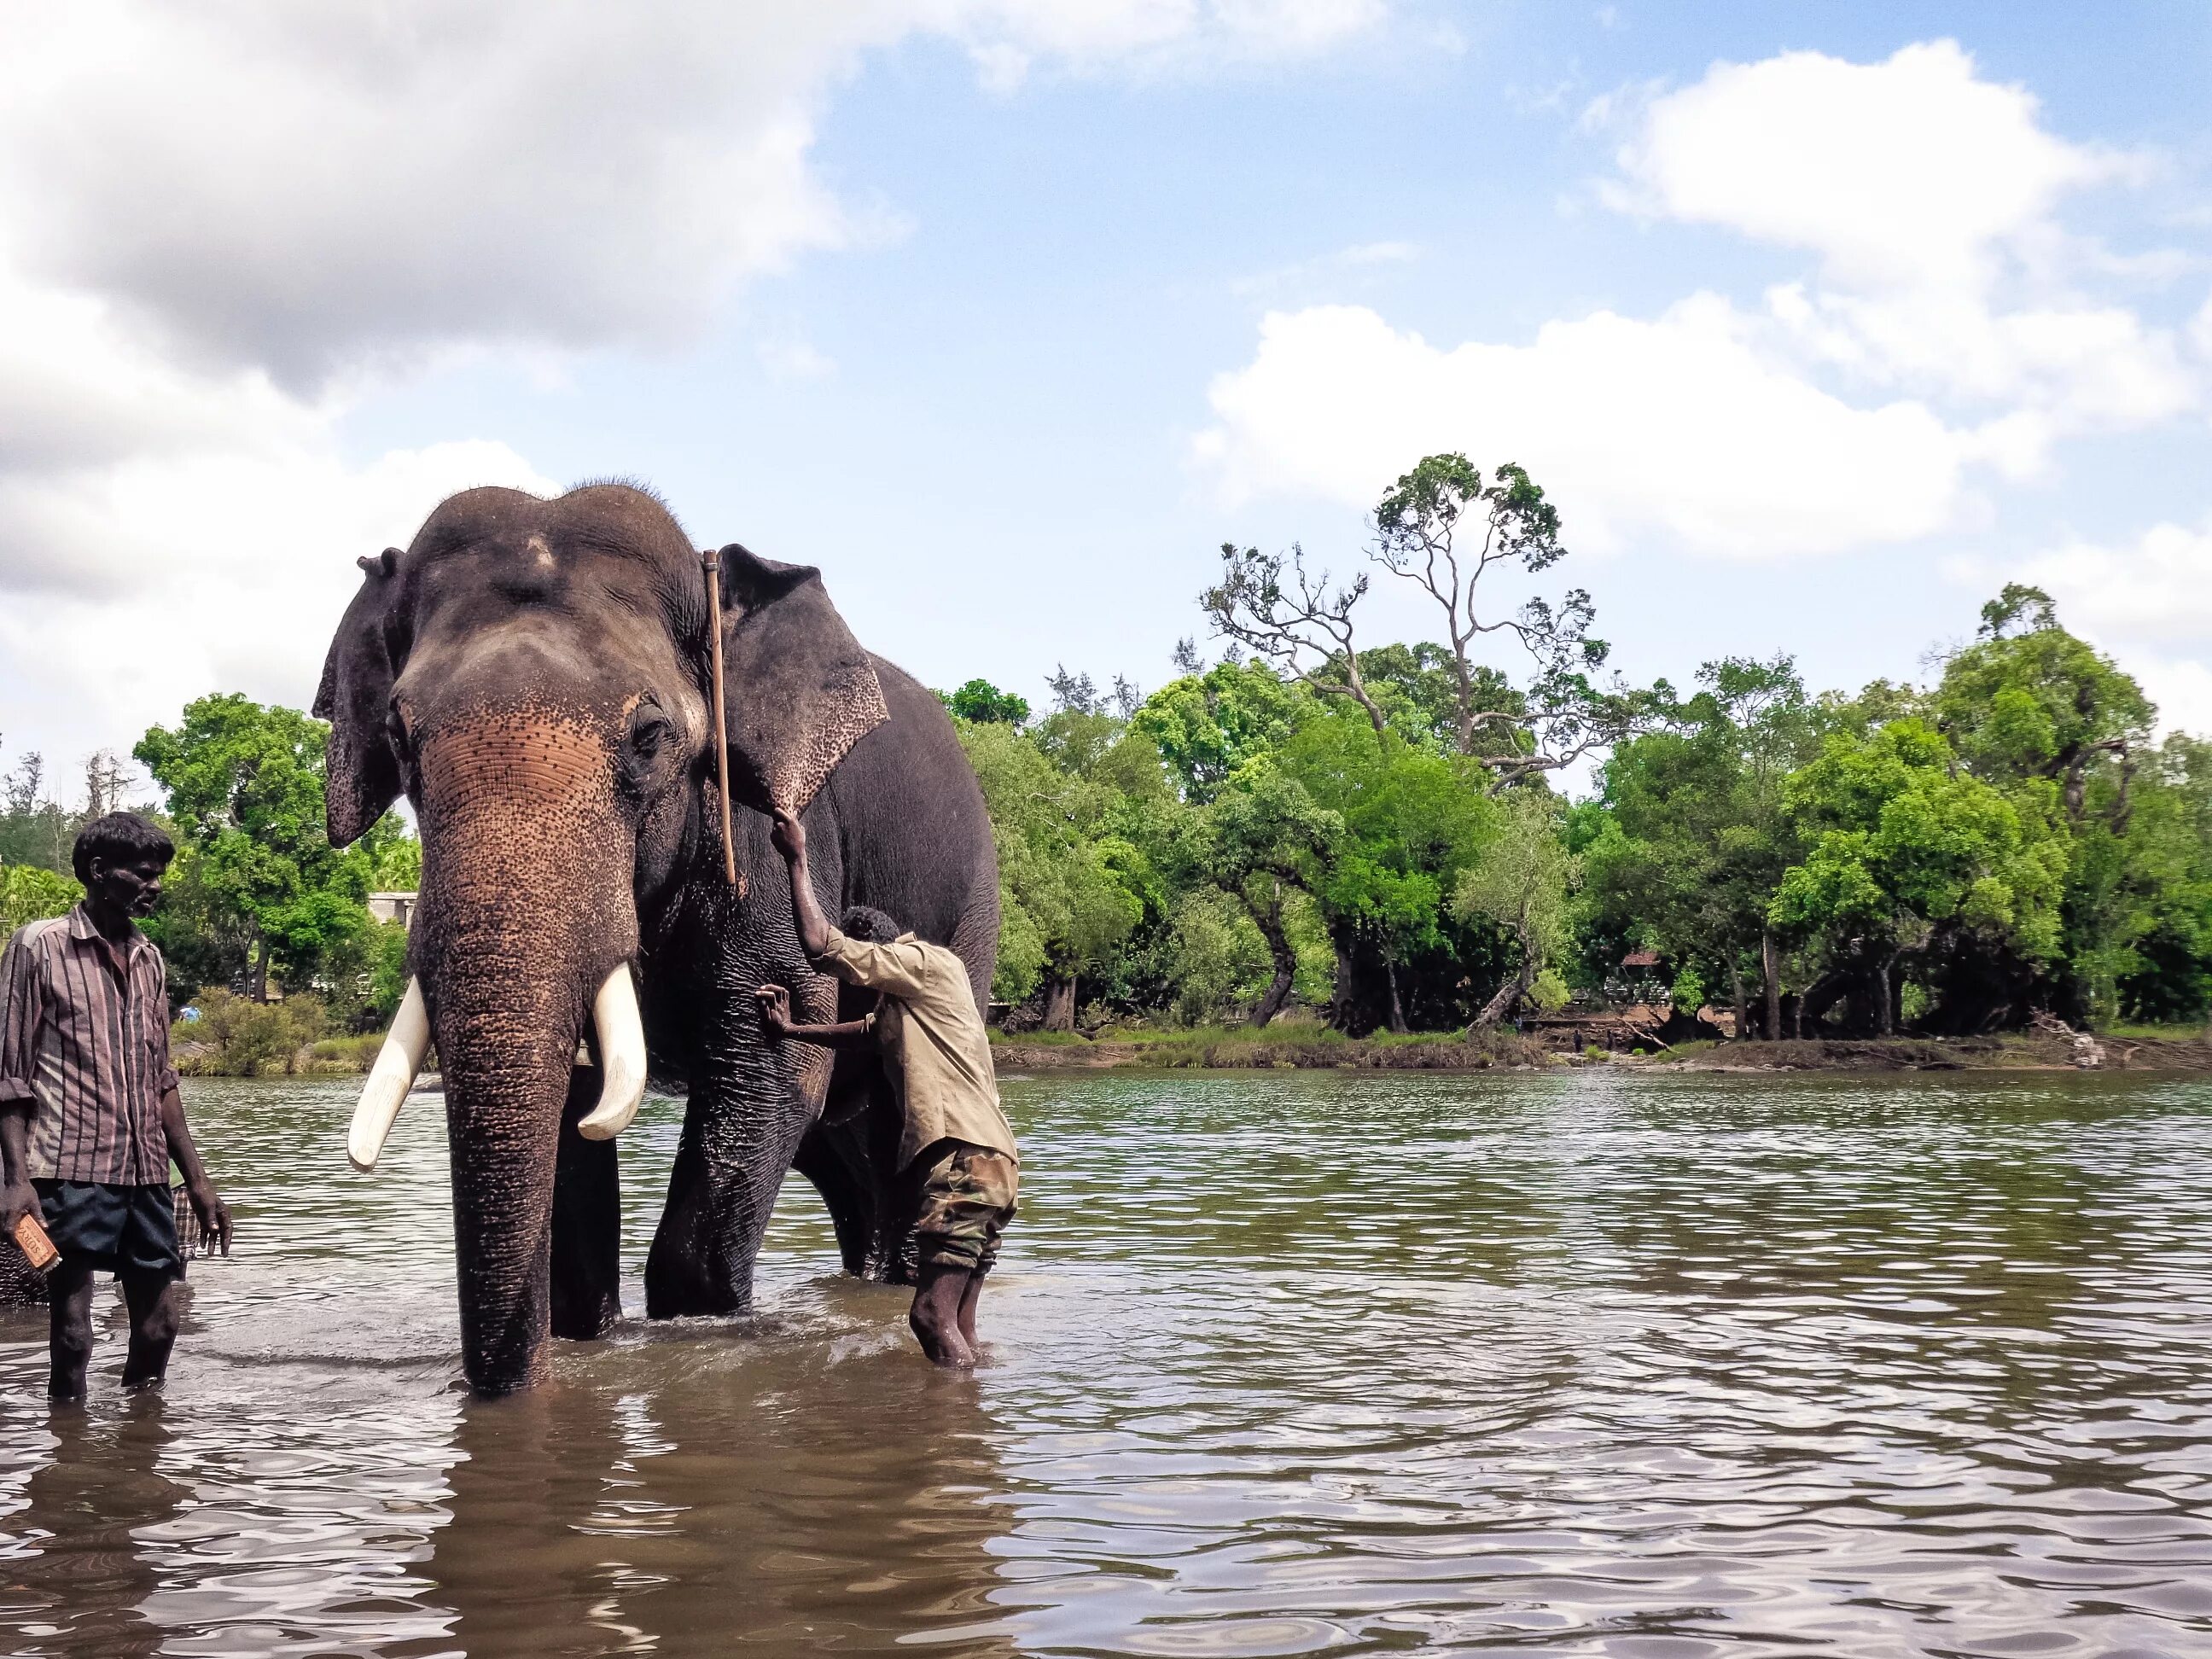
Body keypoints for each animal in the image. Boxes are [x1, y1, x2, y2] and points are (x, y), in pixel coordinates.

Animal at [314, 484, 1004, 1406]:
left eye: (649, 740)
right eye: (397, 738)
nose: (502, 1393)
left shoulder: (750, 833)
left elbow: (767, 1063)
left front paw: (701, 1329)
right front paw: (580, 1332)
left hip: (972, 912)